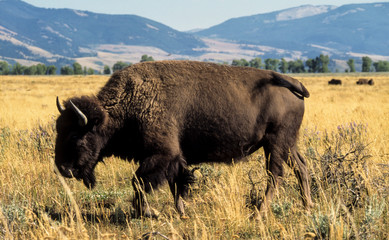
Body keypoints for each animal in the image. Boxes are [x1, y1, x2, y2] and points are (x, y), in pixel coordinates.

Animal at [54, 60, 312, 218]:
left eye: (75, 134)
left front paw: (150, 213)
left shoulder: (161, 155)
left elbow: (139, 182)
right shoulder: (175, 159)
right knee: (301, 167)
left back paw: (260, 212)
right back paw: (307, 206)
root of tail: (292, 82)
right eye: (59, 129)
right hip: (288, 144)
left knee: (275, 174)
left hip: (275, 143)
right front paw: (181, 212)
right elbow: (176, 184)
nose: (63, 169)